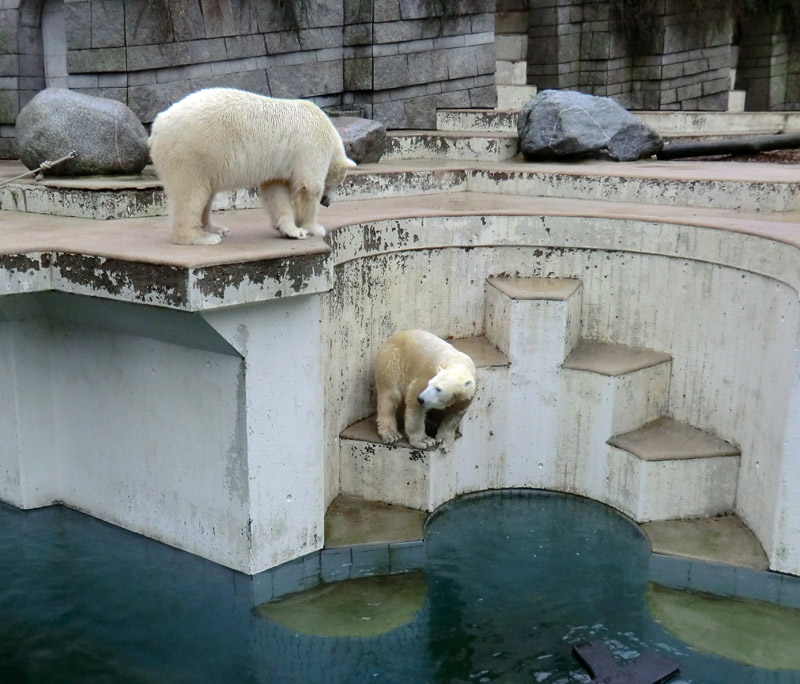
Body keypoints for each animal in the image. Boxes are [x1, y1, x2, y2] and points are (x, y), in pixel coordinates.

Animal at [146, 87, 356, 244]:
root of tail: (156, 127)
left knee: (206, 194)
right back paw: (201, 237)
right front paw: (314, 228)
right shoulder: (312, 145)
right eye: (339, 184)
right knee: (191, 193)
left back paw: (217, 229)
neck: (330, 132)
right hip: (191, 153)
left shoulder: (277, 166)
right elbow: (309, 187)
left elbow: (275, 191)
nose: (326, 203)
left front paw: (292, 231)